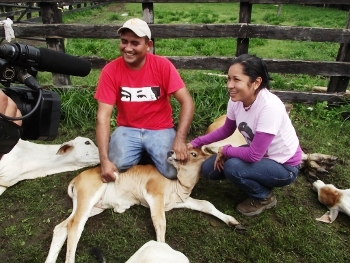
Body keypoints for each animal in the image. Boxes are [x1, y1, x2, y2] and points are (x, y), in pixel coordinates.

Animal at [45, 150, 245, 262]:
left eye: (193, 153)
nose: (170, 153)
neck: (179, 184)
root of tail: (76, 178)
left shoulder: (181, 200)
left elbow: (206, 204)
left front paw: (235, 223)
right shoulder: (154, 195)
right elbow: (160, 222)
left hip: (92, 206)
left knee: (62, 227)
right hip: (89, 196)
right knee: (75, 226)